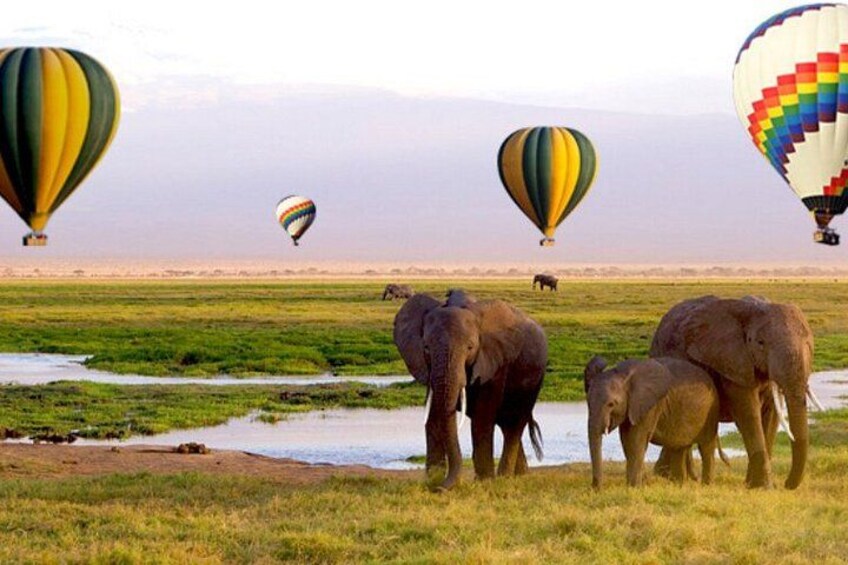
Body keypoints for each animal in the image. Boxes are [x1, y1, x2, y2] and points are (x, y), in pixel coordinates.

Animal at [393, 291, 547, 491]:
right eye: (426, 348)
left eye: (470, 347)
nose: (439, 488)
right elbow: (434, 415)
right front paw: (433, 479)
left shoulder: (495, 362)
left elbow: (482, 420)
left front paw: (484, 483)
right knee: (506, 425)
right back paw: (519, 476)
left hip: (532, 381)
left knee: (514, 424)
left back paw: (505, 478)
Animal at [584, 355, 725, 489]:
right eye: (588, 402)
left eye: (611, 404)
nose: (596, 489)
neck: (623, 374)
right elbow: (626, 440)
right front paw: (637, 485)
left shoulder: (650, 405)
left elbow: (636, 440)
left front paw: (634, 487)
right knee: (679, 447)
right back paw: (679, 486)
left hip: (712, 410)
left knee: (706, 446)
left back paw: (706, 485)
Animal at [650, 295, 815, 489]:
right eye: (760, 343)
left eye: (809, 343)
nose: (787, 484)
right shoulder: (731, 362)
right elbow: (748, 412)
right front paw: (763, 487)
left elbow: (772, 415)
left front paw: (755, 486)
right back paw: (670, 476)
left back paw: (677, 476)